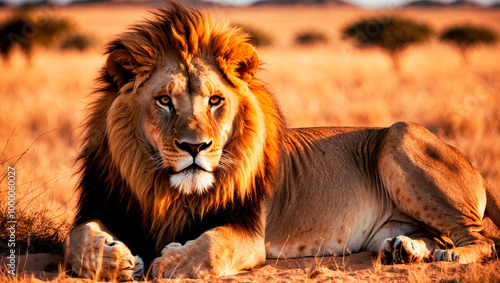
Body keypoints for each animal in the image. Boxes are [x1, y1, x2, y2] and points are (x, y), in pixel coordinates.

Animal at [66, 2, 500, 282]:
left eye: (215, 101)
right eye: (164, 101)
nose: (195, 147)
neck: (164, 188)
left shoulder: (248, 230)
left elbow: (211, 247)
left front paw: (169, 263)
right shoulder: (104, 203)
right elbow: (77, 238)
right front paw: (118, 260)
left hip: (401, 133)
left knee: (480, 238)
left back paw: (450, 253)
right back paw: (404, 249)